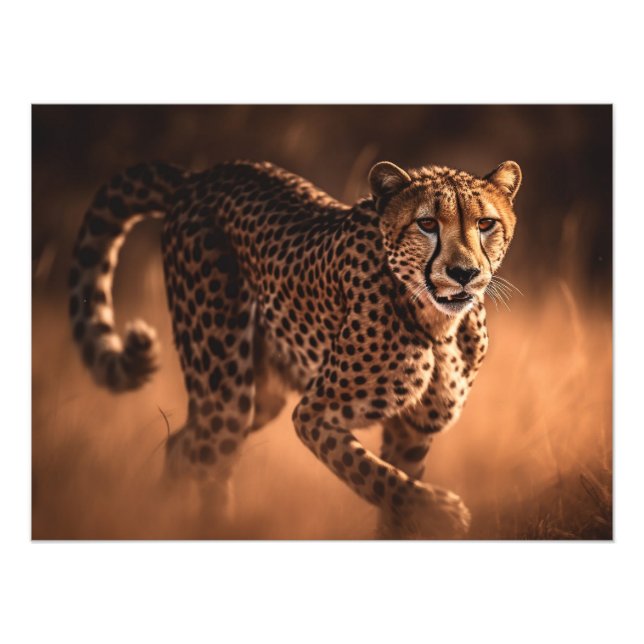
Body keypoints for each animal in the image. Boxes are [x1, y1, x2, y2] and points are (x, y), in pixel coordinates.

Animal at [68, 157, 521, 539]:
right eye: (426, 224)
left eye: (485, 223)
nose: (463, 273)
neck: (437, 324)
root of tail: (202, 175)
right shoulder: (314, 414)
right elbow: (373, 475)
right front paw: (441, 511)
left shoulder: (411, 429)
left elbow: (394, 499)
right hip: (226, 393)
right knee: (205, 458)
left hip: (260, 396)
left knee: (184, 445)